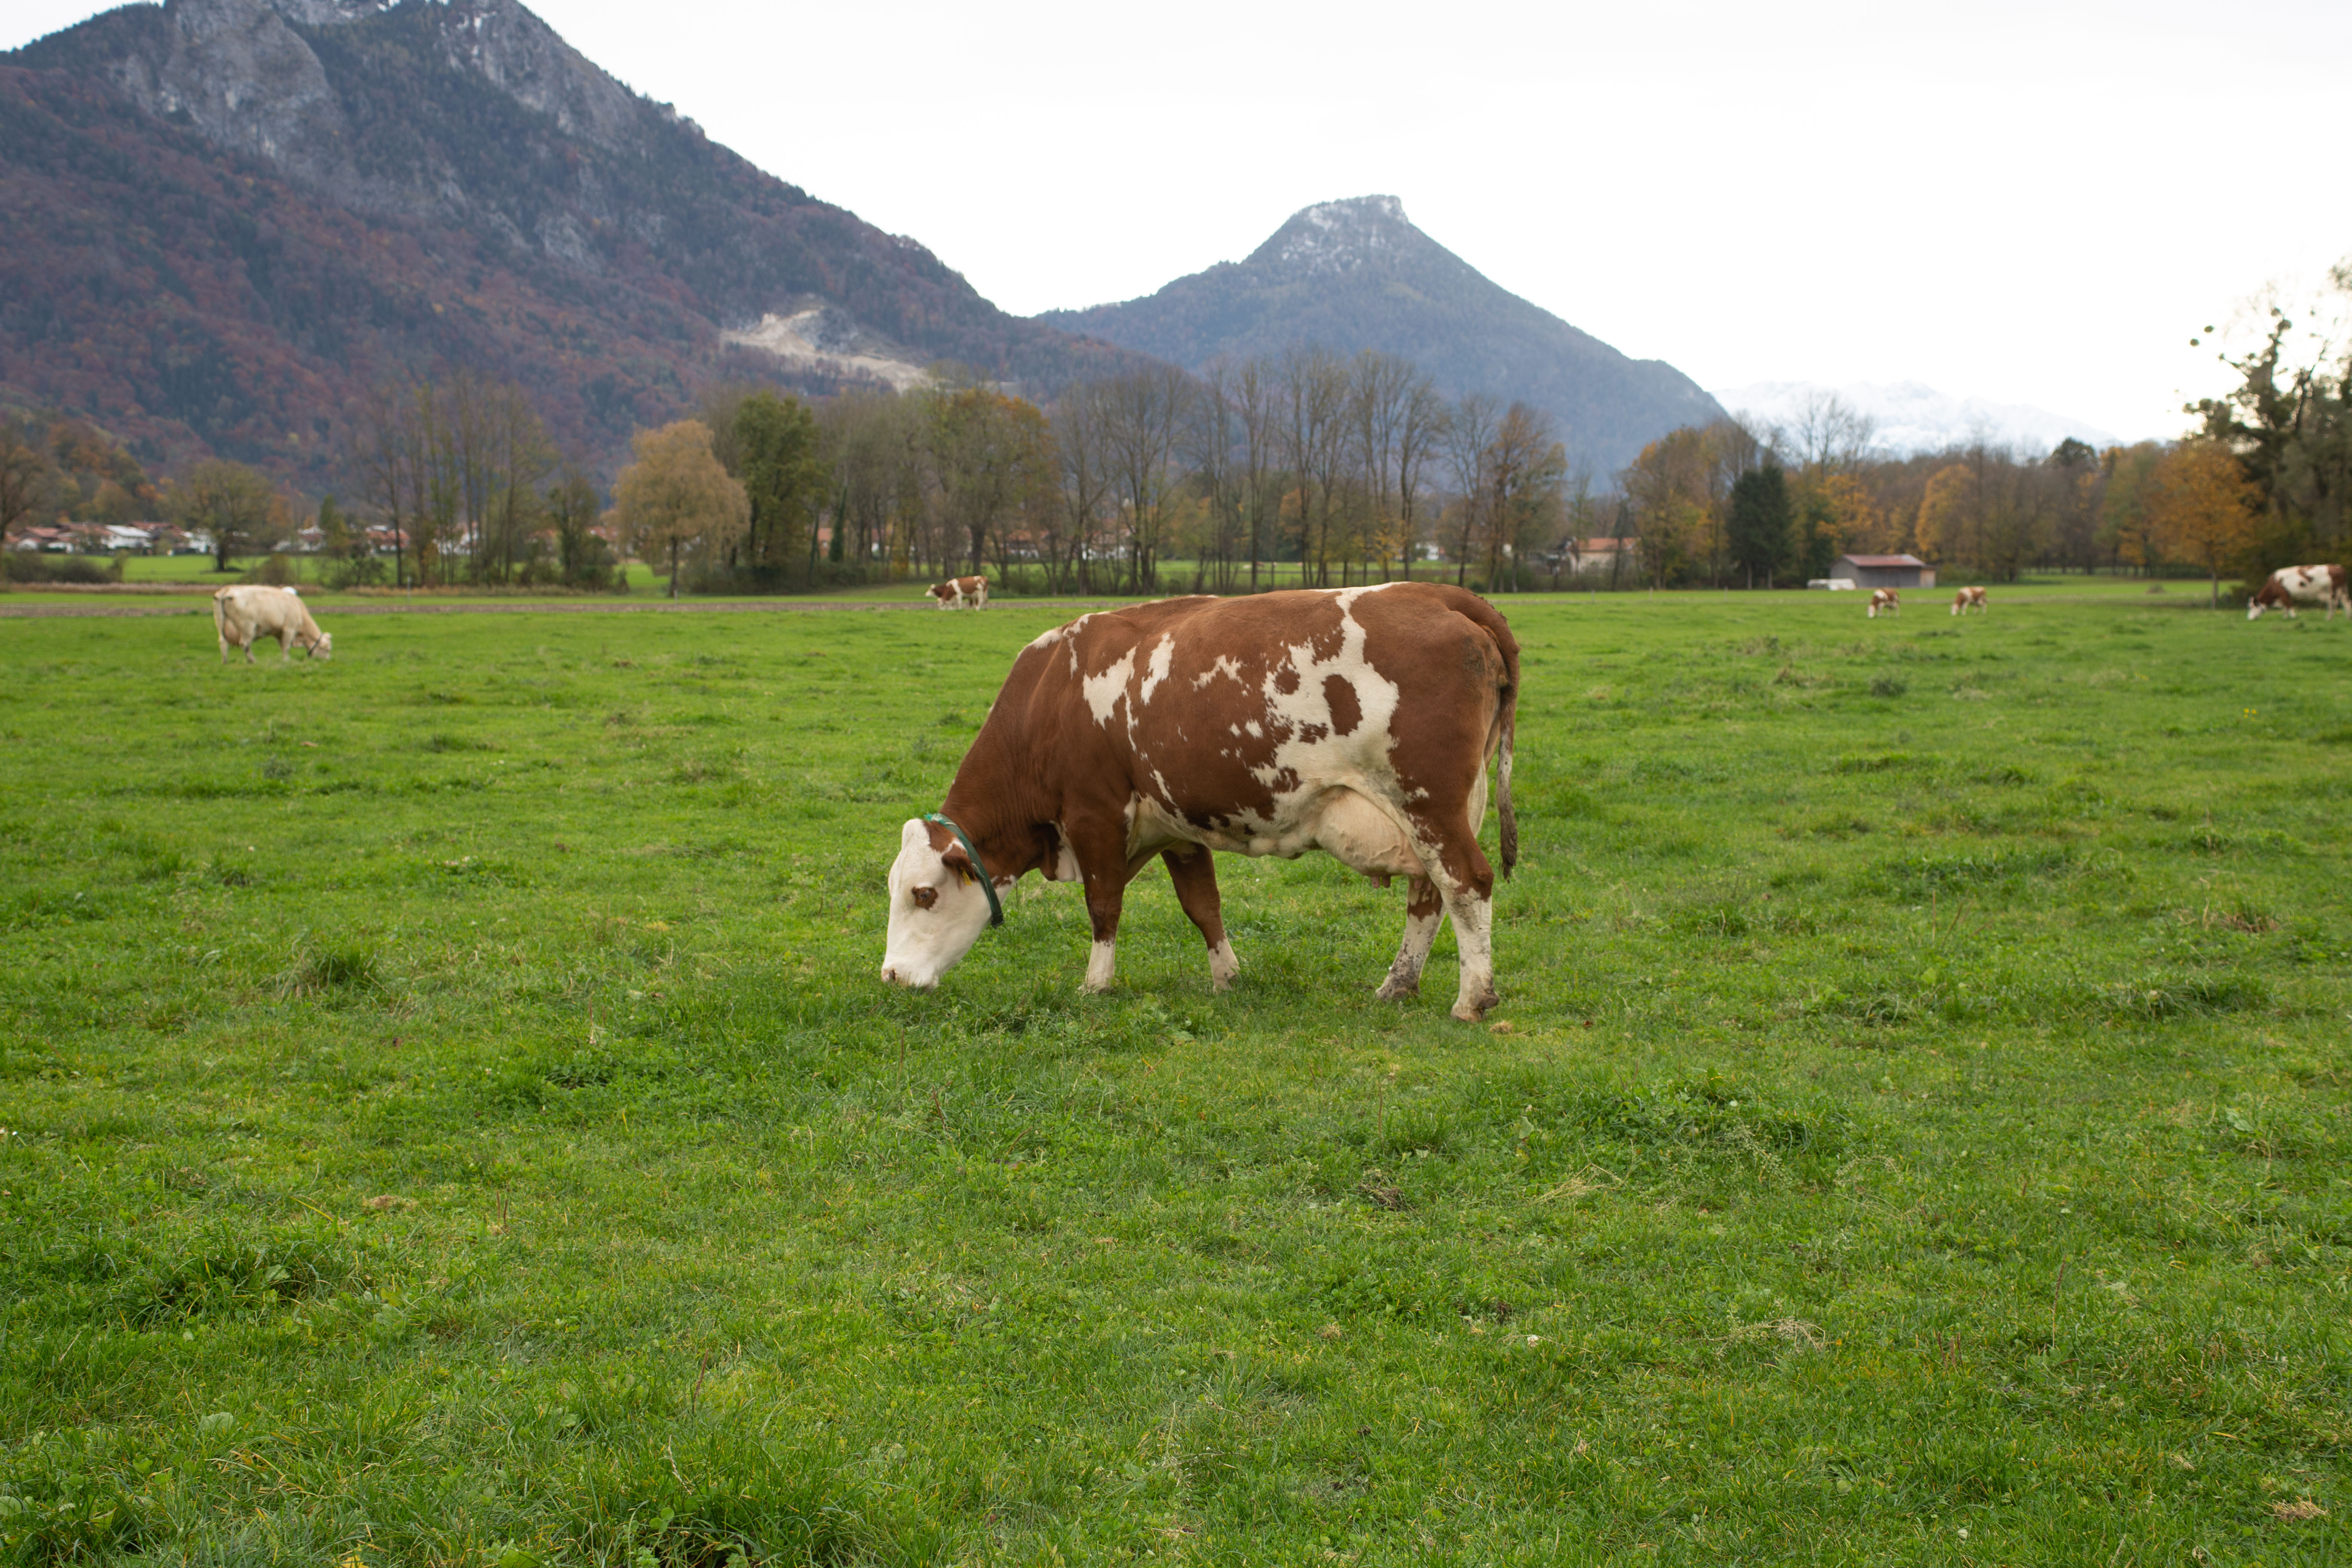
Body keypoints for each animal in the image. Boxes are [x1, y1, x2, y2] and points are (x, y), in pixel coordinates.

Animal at [214, 585, 331, 668]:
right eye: (327, 650)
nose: (327, 661)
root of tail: (228, 589)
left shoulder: (279, 632)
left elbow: (282, 646)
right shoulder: (289, 629)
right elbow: (286, 647)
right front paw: (287, 661)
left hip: (221, 625)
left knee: (223, 643)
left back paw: (225, 662)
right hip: (248, 626)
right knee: (245, 644)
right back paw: (252, 661)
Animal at [884, 583, 1524, 1025]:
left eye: (924, 894)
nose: (891, 976)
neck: (1050, 697)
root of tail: (1436, 593)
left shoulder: (1094, 815)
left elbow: (1103, 907)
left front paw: (1096, 985)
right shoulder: (1178, 828)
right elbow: (1203, 906)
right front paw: (1227, 978)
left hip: (1426, 801)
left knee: (1466, 882)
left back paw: (1472, 998)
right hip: (1434, 811)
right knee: (1430, 894)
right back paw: (1398, 986)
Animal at [922, 576, 988, 611]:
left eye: (931, 589)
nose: (926, 594)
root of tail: (983, 577)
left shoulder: (959, 595)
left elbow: (959, 603)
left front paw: (960, 609)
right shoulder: (953, 598)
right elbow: (952, 604)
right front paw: (952, 610)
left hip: (980, 594)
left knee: (981, 601)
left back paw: (977, 610)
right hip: (981, 594)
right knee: (984, 601)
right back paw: (984, 609)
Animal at [2248, 557, 2343, 620]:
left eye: (2251, 607)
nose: (2250, 619)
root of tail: (2337, 566)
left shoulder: (2284, 594)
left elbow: (2289, 605)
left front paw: (2294, 617)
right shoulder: (2283, 597)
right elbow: (2285, 607)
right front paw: (2285, 617)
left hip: (2333, 593)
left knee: (2334, 605)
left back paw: (2330, 618)